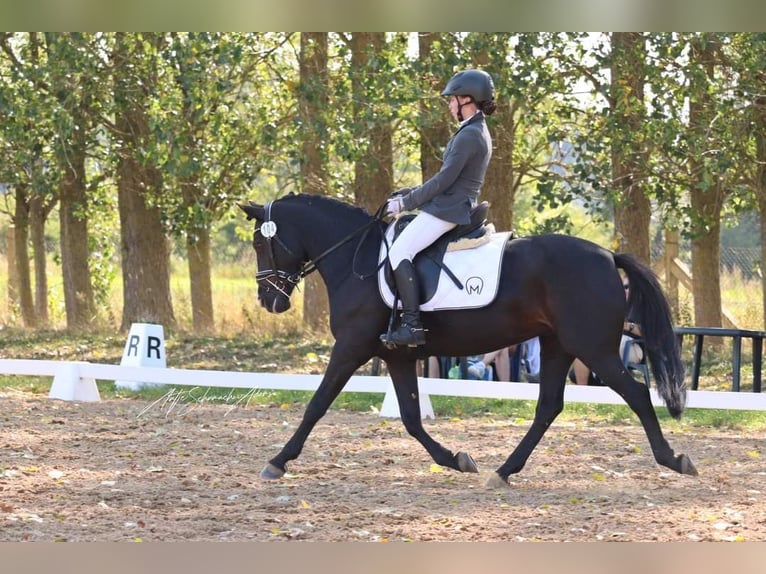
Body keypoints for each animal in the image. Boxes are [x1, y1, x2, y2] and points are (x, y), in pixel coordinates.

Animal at [243, 192, 700, 486]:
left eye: (260, 243)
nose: (269, 301)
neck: (358, 259)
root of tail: (609, 255)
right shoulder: (398, 356)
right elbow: (410, 418)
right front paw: (457, 460)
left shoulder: (351, 348)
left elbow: (316, 404)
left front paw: (277, 461)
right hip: (558, 346)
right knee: (549, 407)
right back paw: (504, 472)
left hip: (594, 349)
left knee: (636, 394)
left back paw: (674, 460)